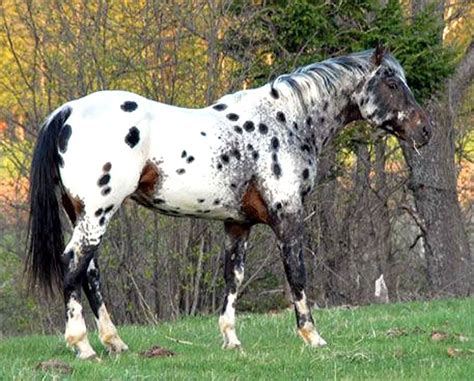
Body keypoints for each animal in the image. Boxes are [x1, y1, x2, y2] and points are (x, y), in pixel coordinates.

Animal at [27, 46, 432, 358]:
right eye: (392, 83)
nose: (425, 130)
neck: (286, 121)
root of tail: (67, 111)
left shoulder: (238, 223)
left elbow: (232, 277)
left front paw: (231, 339)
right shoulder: (288, 217)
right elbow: (297, 274)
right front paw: (312, 336)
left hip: (83, 213)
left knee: (90, 272)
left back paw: (115, 342)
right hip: (98, 212)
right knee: (73, 264)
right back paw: (83, 346)